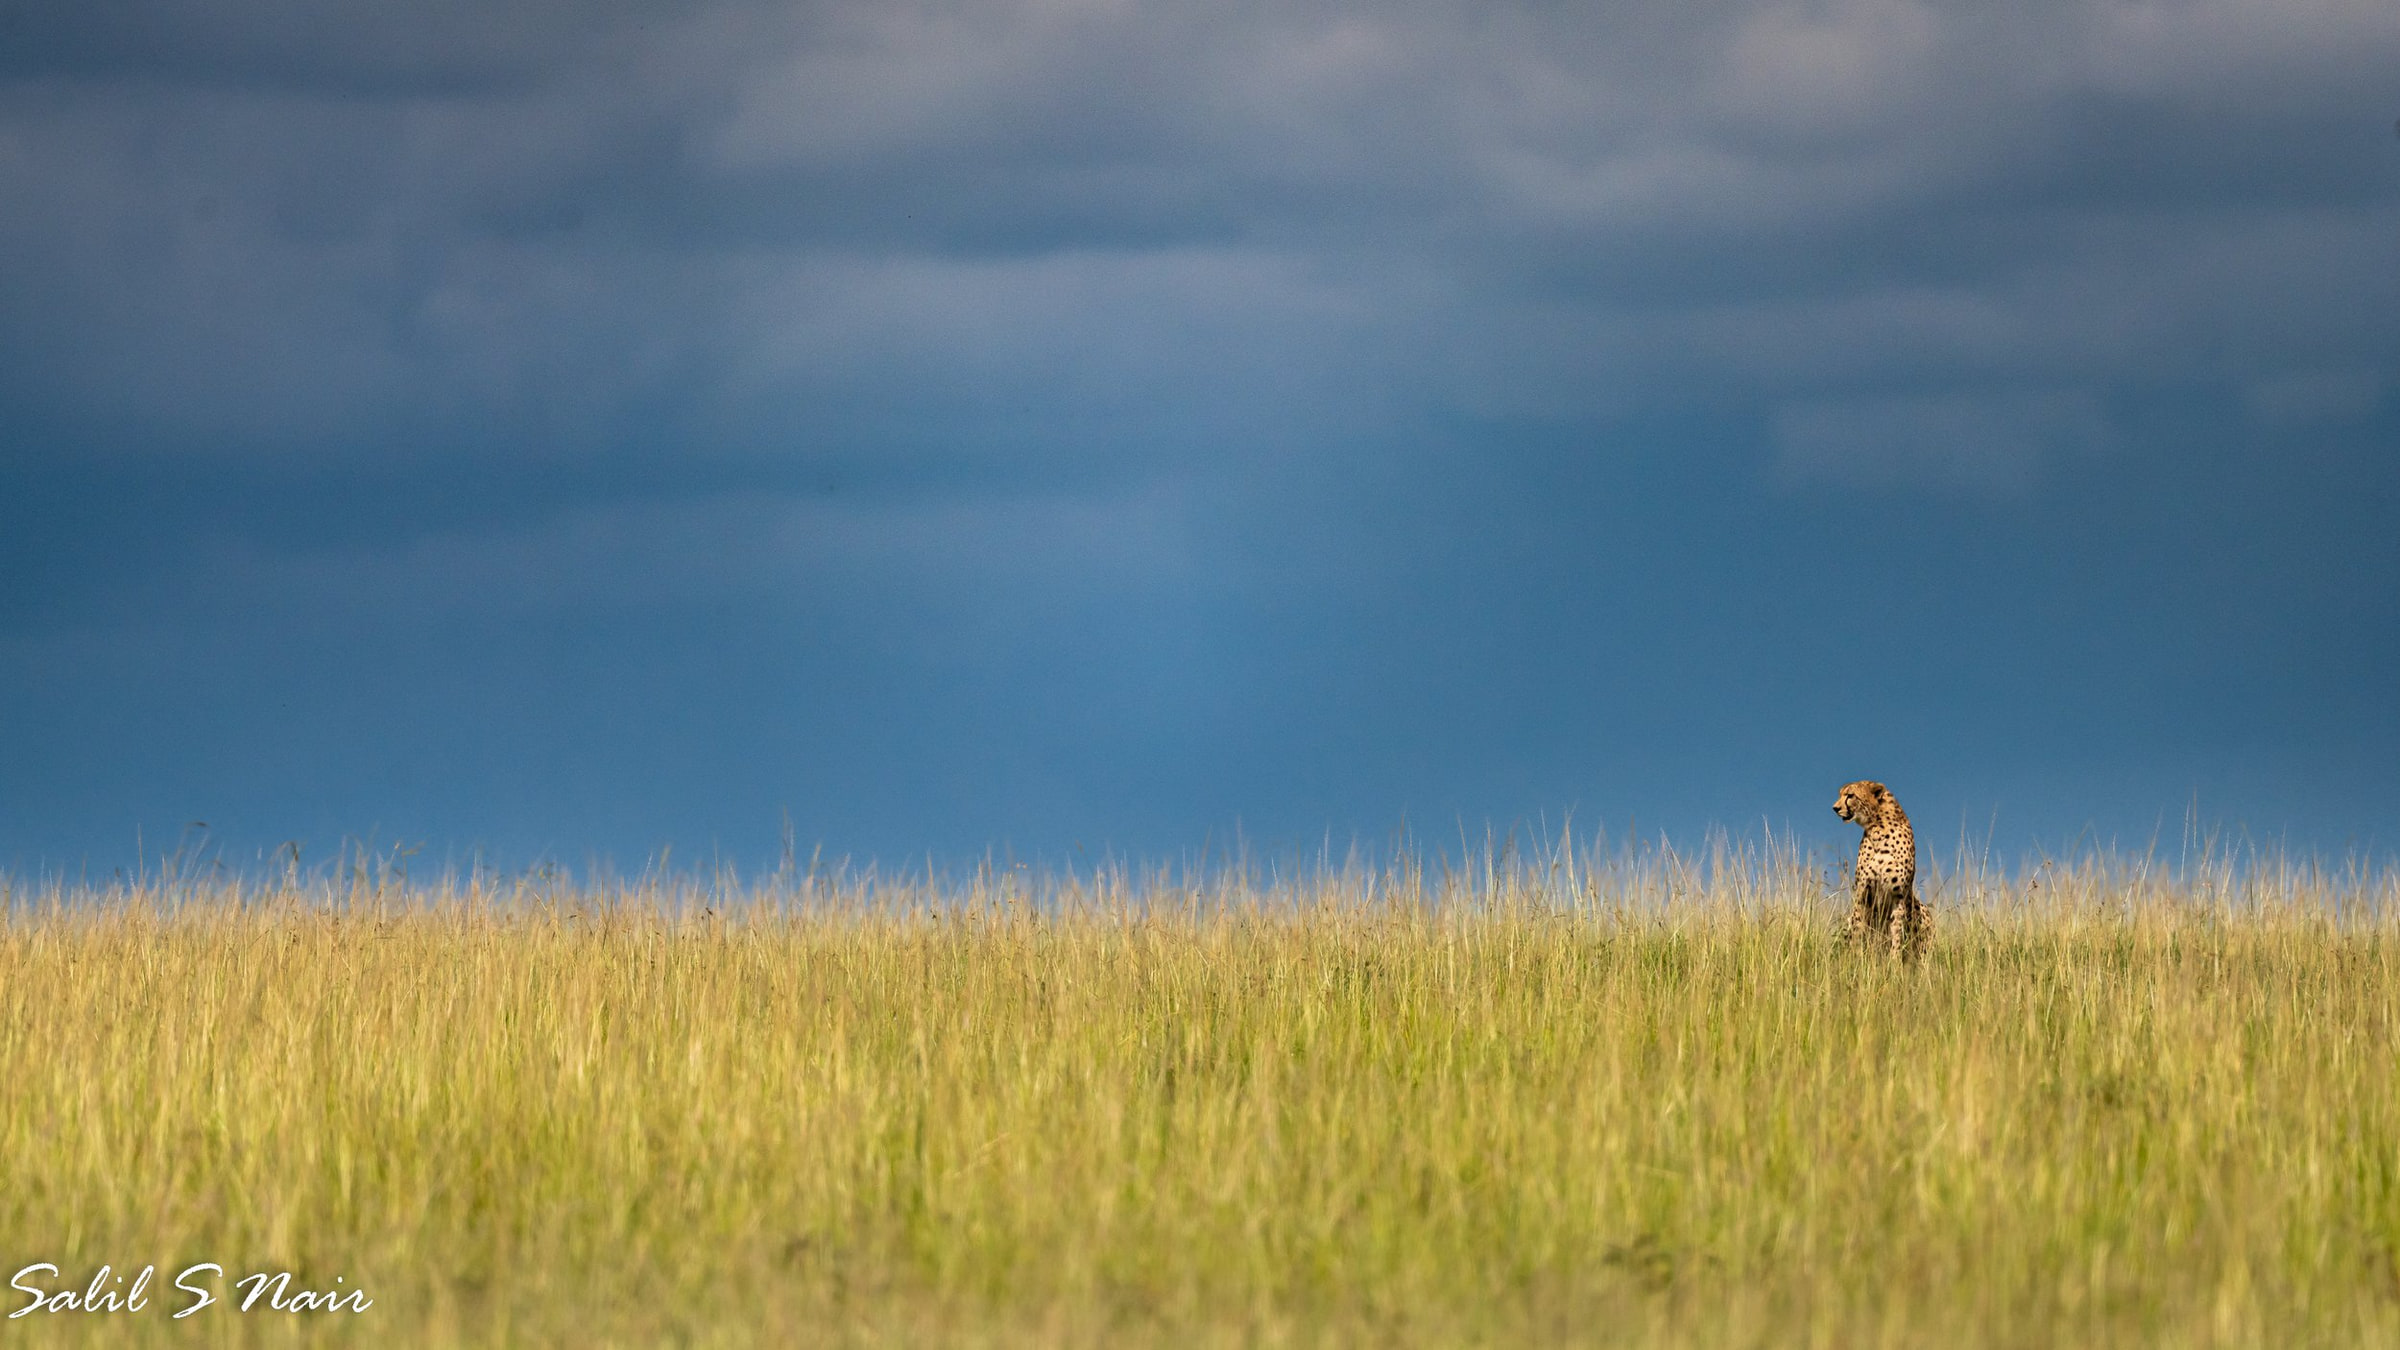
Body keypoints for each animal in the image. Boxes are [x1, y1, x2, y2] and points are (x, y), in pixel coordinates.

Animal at [1834, 780, 1928, 960]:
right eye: (1840, 794)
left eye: (1850, 795)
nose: (1835, 808)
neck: (1877, 827)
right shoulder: (1863, 893)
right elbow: (1858, 928)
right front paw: (1855, 958)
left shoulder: (1898, 895)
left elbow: (1896, 931)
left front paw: (1894, 960)